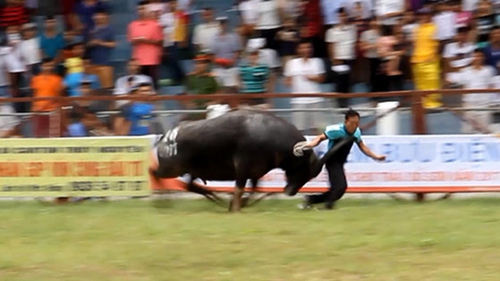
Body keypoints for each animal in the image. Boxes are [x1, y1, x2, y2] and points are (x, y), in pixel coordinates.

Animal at [148, 108, 336, 211]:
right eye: (303, 168)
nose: (291, 191)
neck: (272, 139)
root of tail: (166, 136)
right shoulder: (242, 170)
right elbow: (240, 190)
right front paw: (236, 207)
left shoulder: (255, 173)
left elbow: (253, 190)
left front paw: (237, 204)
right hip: (172, 169)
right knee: (154, 173)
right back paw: (163, 201)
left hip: (192, 171)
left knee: (189, 186)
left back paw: (216, 197)